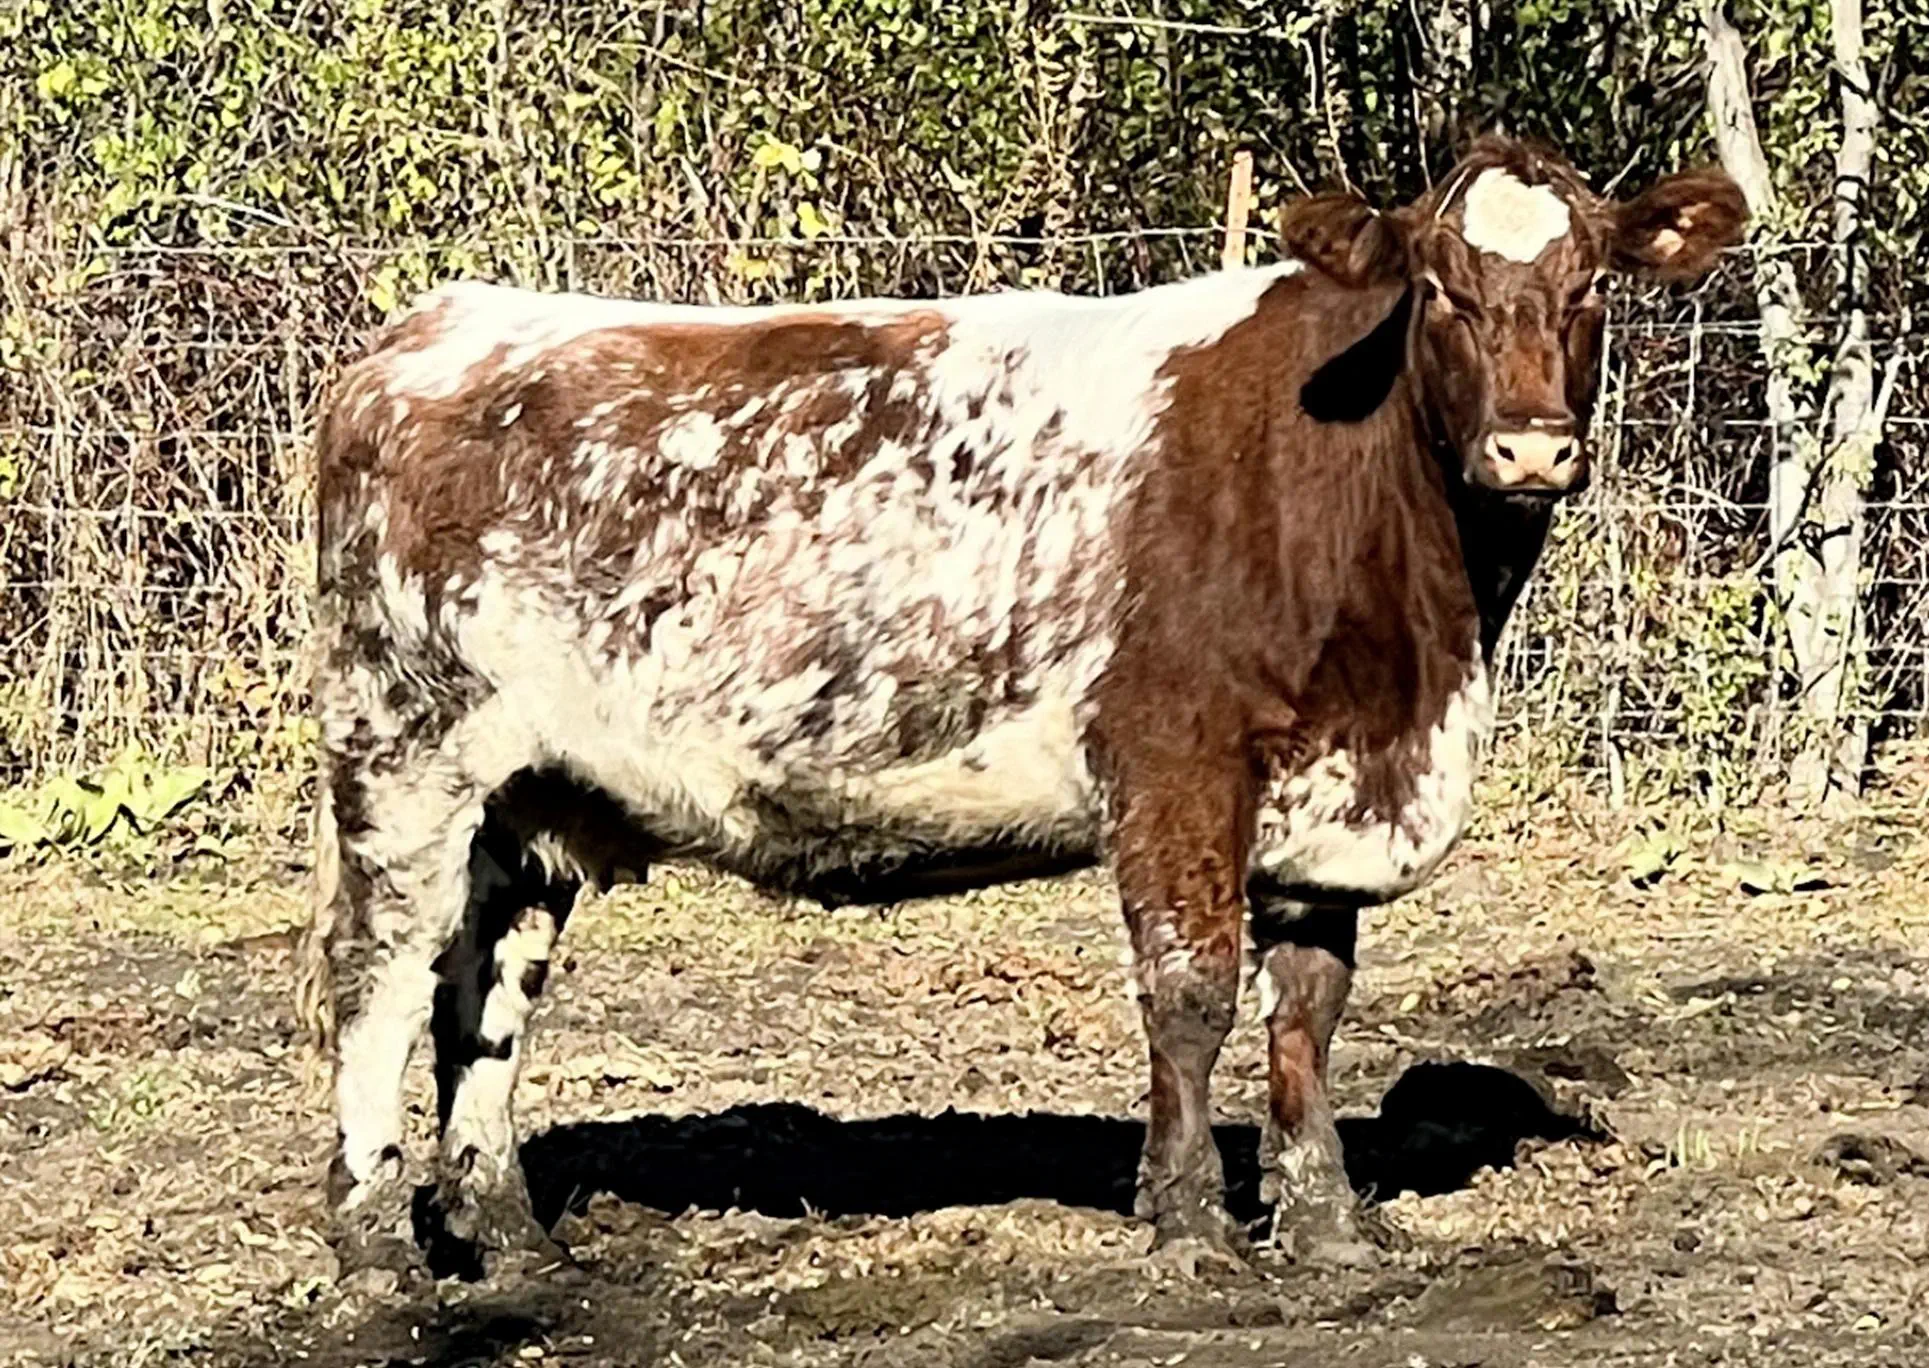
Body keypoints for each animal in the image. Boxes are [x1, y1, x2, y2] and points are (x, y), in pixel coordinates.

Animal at [297, 136, 1745, 1277]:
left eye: (1593, 285)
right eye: (1438, 289)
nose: (1531, 449)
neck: (1418, 651)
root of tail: (431, 331)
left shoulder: (1329, 798)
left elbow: (1308, 1012)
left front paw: (1328, 1224)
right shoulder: (1174, 766)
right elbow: (1192, 996)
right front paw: (1188, 1223)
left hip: (534, 791)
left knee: (486, 991)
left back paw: (508, 1233)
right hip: (401, 746)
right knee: (375, 974)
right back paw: (375, 1243)